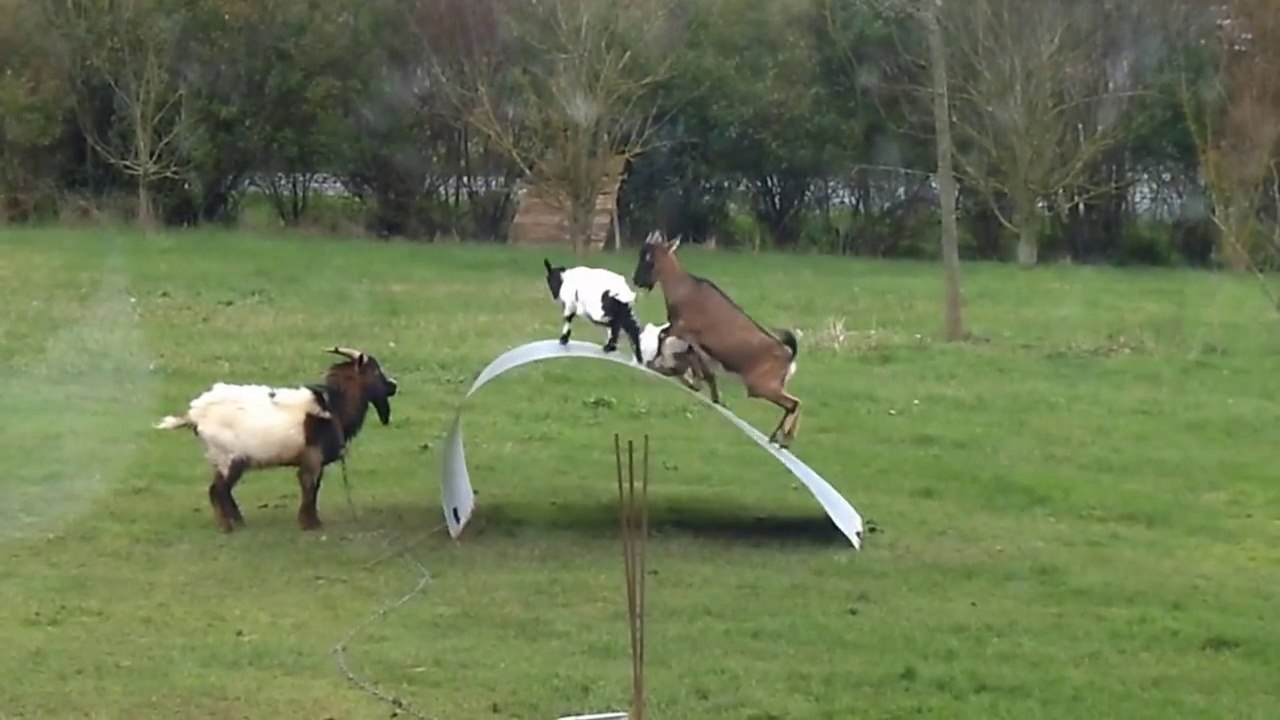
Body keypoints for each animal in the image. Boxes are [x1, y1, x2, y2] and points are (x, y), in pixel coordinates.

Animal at [153, 347, 398, 532]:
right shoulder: (312, 457)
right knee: (216, 490)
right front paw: (309, 524)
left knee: (223, 491)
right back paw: (227, 527)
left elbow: (313, 488)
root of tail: (194, 414)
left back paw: (239, 522)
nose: (393, 385)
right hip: (228, 457)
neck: (333, 407)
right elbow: (310, 487)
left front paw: (311, 521)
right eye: (375, 371)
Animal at [631, 231, 802, 447]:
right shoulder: (688, 335)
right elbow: (694, 357)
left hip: (761, 385)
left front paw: (654, 362)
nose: (637, 281)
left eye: (650, 260)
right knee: (793, 403)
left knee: (794, 403)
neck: (685, 289)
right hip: (773, 385)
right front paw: (703, 386)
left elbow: (663, 337)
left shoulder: (682, 327)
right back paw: (779, 438)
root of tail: (789, 357)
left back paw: (782, 437)